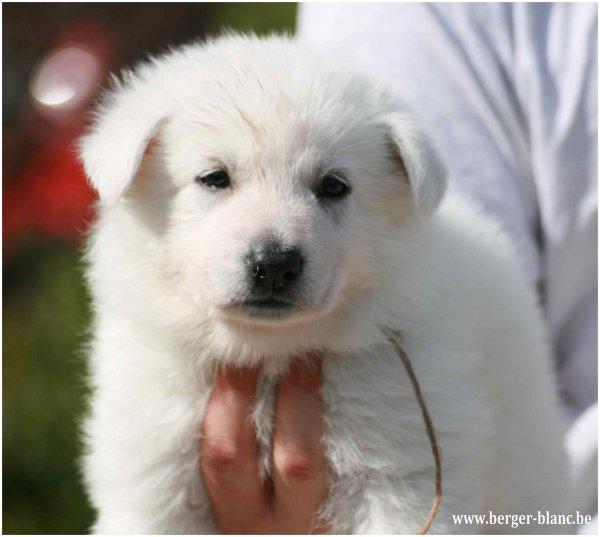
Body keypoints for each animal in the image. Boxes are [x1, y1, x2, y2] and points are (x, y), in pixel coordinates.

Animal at [79, 33, 568, 532]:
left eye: (333, 186)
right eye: (215, 178)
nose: (275, 264)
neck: (270, 354)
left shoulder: (402, 471)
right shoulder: (153, 476)